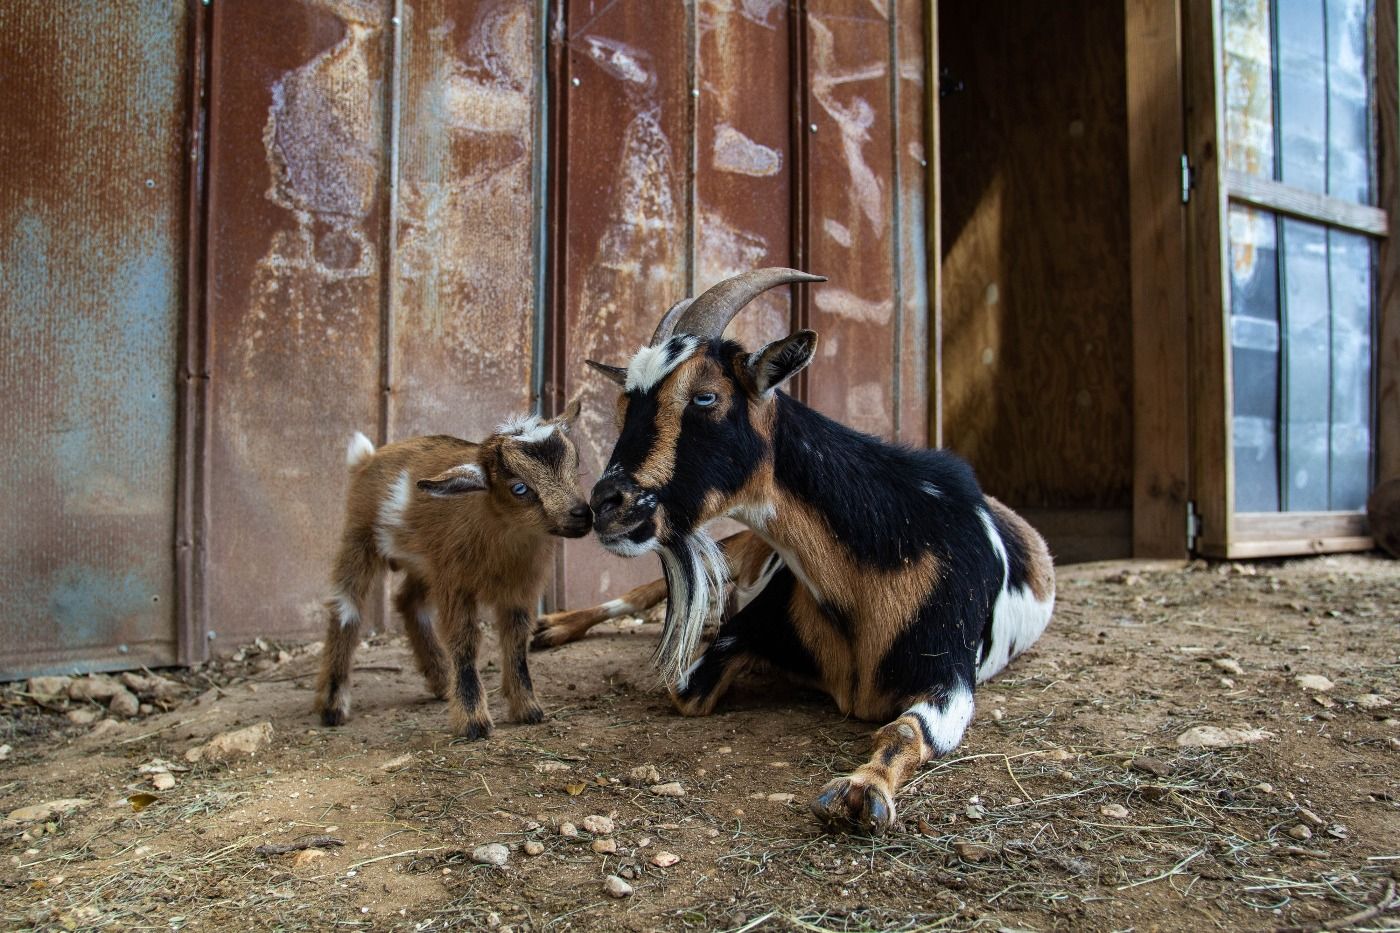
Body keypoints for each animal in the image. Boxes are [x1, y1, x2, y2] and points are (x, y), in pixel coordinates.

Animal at [314, 400, 590, 739]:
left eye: (575, 463)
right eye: (519, 488)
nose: (582, 514)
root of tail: (367, 458)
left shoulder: (519, 589)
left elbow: (515, 642)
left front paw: (528, 709)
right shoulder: (456, 584)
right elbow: (464, 640)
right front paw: (473, 722)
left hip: (425, 563)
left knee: (407, 600)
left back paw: (440, 679)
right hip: (359, 537)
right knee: (346, 608)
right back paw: (333, 705)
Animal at [579, 268, 1055, 833]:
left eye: (705, 397)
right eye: (624, 403)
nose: (606, 504)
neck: (882, 550)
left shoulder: (951, 673)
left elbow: (905, 729)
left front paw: (861, 790)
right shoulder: (752, 627)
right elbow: (686, 689)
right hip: (735, 552)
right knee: (633, 597)